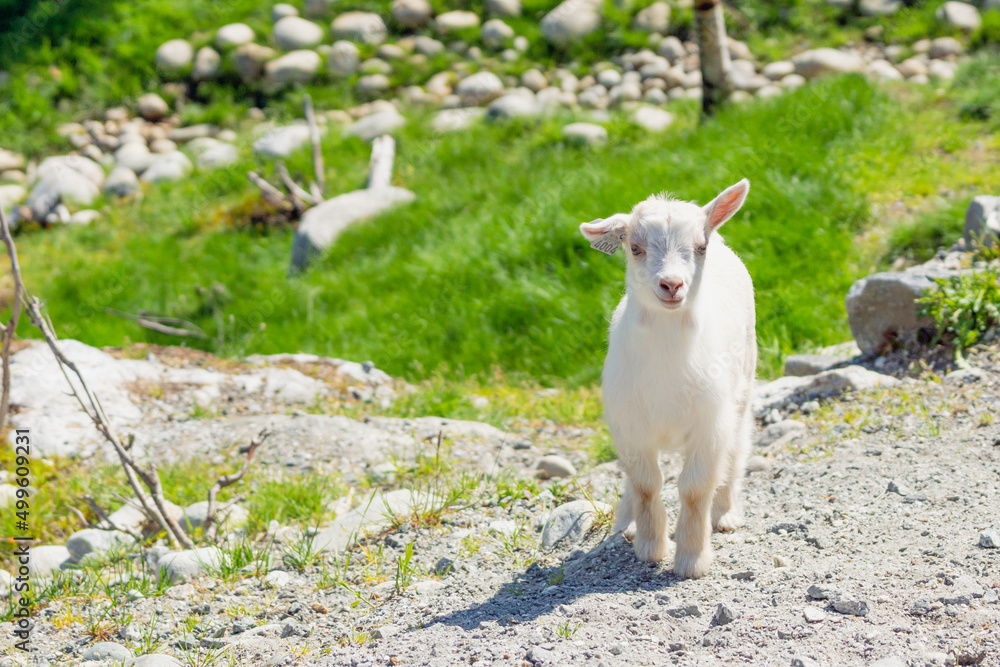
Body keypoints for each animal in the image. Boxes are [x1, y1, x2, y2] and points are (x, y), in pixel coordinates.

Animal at [579, 179, 756, 579]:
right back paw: (626, 523)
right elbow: (646, 484)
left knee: (736, 450)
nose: (672, 285)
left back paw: (725, 514)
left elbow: (694, 489)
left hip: (742, 390)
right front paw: (650, 547)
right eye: (635, 247)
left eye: (700, 247)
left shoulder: (710, 423)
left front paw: (691, 559)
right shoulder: (629, 424)